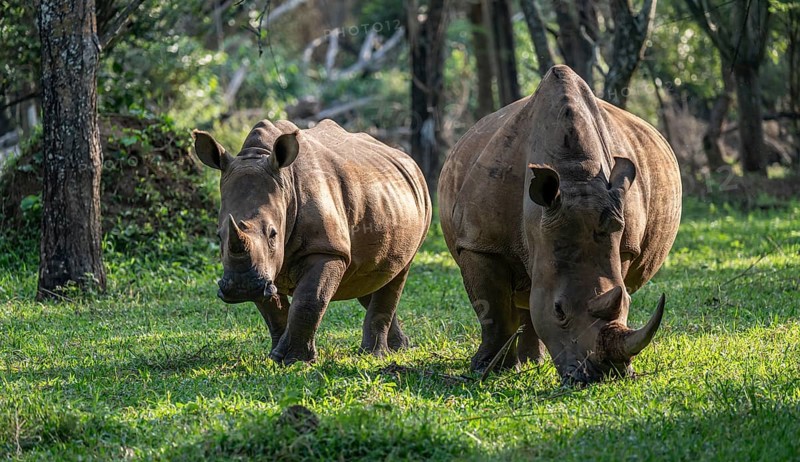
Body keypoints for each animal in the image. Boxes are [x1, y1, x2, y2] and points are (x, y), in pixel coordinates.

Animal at [193, 119, 431, 365]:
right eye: (219, 236)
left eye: (273, 234)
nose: (242, 287)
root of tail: (404, 157)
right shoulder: (262, 269)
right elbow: (274, 310)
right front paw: (276, 357)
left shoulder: (326, 250)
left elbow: (309, 300)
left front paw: (295, 360)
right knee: (370, 277)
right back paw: (399, 348)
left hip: (421, 204)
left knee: (397, 272)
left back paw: (374, 354)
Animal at [438, 65, 681, 384]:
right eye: (559, 311)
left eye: (629, 304)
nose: (603, 375)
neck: (575, 177)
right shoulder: (480, 243)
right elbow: (494, 311)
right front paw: (485, 368)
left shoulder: (624, 245)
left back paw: (532, 361)